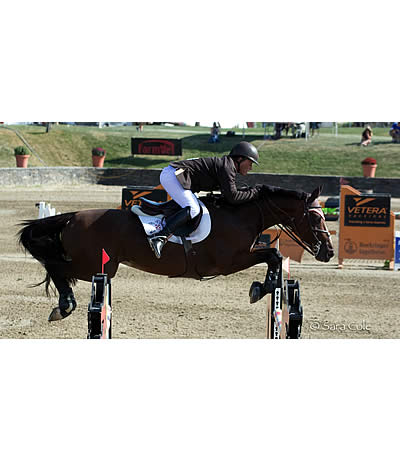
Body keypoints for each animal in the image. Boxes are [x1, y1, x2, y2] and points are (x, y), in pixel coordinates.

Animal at [18, 183, 334, 320]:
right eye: (315, 217)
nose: (328, 252)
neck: (241, 214)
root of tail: (73, 216)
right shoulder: (229, 262)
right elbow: (273, 255)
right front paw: (260, 288)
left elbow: (274, 257)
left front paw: (264, 287)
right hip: (96, 265)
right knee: (56, 267)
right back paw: (64, 305)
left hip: (98, 266)